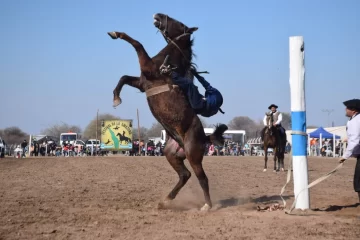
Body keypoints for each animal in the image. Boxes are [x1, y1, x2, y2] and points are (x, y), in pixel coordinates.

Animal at [105, 14, 228, 211]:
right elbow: (124, 77)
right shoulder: (142, 82)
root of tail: (205, 137)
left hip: (193, 155)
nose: (159, 15)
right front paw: (116, 98)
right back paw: (165, 200)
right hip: (171, 153)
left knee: (202, 177)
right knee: (185, 175)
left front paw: (116, 33)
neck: (170, 63)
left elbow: (137, 44)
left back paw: (207, 206)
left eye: (180, 23)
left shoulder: (147, 67)